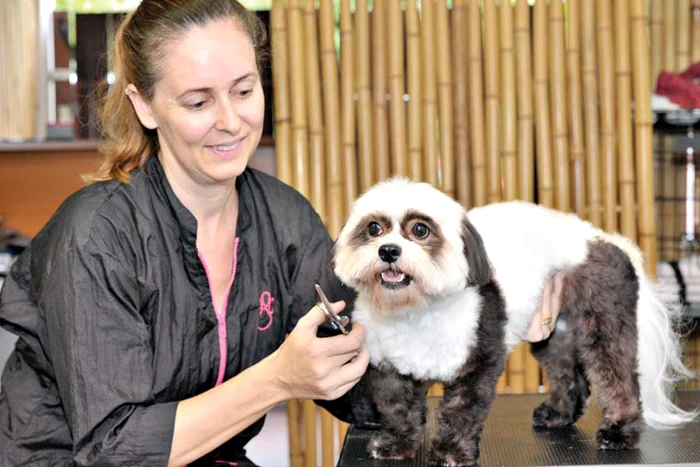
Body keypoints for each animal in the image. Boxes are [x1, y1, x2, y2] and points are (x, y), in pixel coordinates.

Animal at [332, 178, 696, 467]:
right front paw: (399, 444)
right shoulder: (387, 368)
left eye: (420, 229)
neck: (415, 310)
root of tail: (601, 238)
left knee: (616, 374)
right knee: (566, 373)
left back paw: (620, 431)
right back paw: (558, 414)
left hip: (603, 317)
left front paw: (451, 452)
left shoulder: (478, 360)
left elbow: (461, 410)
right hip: (554, 331)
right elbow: (398, 409)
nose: (388, 250)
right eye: (374, 228)